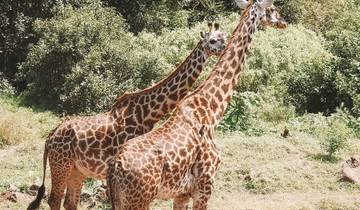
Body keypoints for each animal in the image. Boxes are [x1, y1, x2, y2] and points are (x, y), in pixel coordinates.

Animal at [27, 23, 228, 210]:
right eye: (212, 40)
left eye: (224, 36)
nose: (224, 48)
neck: (148, 112)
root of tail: (50, 136)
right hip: (61, 165)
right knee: (54, 199)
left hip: (77, 170)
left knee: (69, 202)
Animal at [106, 0, 286, 209]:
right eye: (272, 8)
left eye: (225, 36)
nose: (283, 22)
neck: (212, 108)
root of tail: (115, 167)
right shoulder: (205, 186)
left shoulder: (182, 194)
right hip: (139, 200)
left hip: (120, 200)